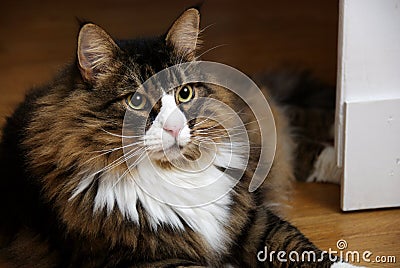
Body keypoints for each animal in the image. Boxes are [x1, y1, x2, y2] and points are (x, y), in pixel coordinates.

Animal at [0, 8, 356, 268]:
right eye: (136, 101)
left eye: (184, 93)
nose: (173, 127)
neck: (176, 174)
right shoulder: (149, 259)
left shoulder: (248, 218)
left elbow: (300, 247)